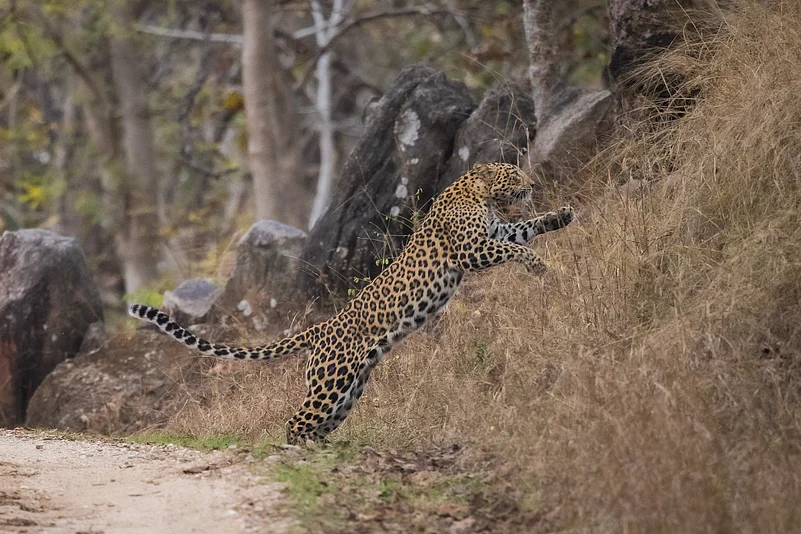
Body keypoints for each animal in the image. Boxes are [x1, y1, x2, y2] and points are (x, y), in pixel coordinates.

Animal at [128, 162, 574, 445]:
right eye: (513, 172)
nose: (532, 182)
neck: (477, 193)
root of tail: (320, 328)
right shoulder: (471, 250)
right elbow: (513, 248)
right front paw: (538, 265)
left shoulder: (497, 232)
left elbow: (524, 229)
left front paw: (562, 216)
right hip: (331, 382)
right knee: (296, 421)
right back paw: (300, 454)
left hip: (350, 388)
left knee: (318, 423)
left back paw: (323, 451)